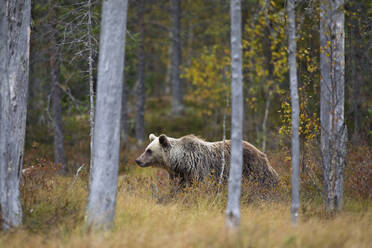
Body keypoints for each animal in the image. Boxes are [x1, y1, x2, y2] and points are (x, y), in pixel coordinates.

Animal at [134, 134, 280, 188]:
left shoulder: (198, 169)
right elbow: (178, 187)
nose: (137, 160)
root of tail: (261, 152)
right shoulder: (178, 174)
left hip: (252, 168)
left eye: (149, 151)